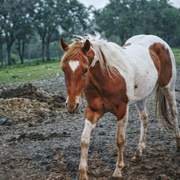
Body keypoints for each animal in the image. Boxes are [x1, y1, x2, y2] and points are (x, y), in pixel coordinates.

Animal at [59, 33, 180, 179]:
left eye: (85, 70)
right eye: (63, 69)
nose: (71, 105)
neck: (107, 78)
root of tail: (160, 42)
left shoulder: (122, 110)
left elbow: (120, 140)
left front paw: (118, 170)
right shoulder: (93, 110)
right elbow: (84, 139)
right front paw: (83, 174)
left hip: (168, 87)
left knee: (174, 112)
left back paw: (178, 143)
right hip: (141, 96)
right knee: (144, 118)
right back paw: (139, 153)